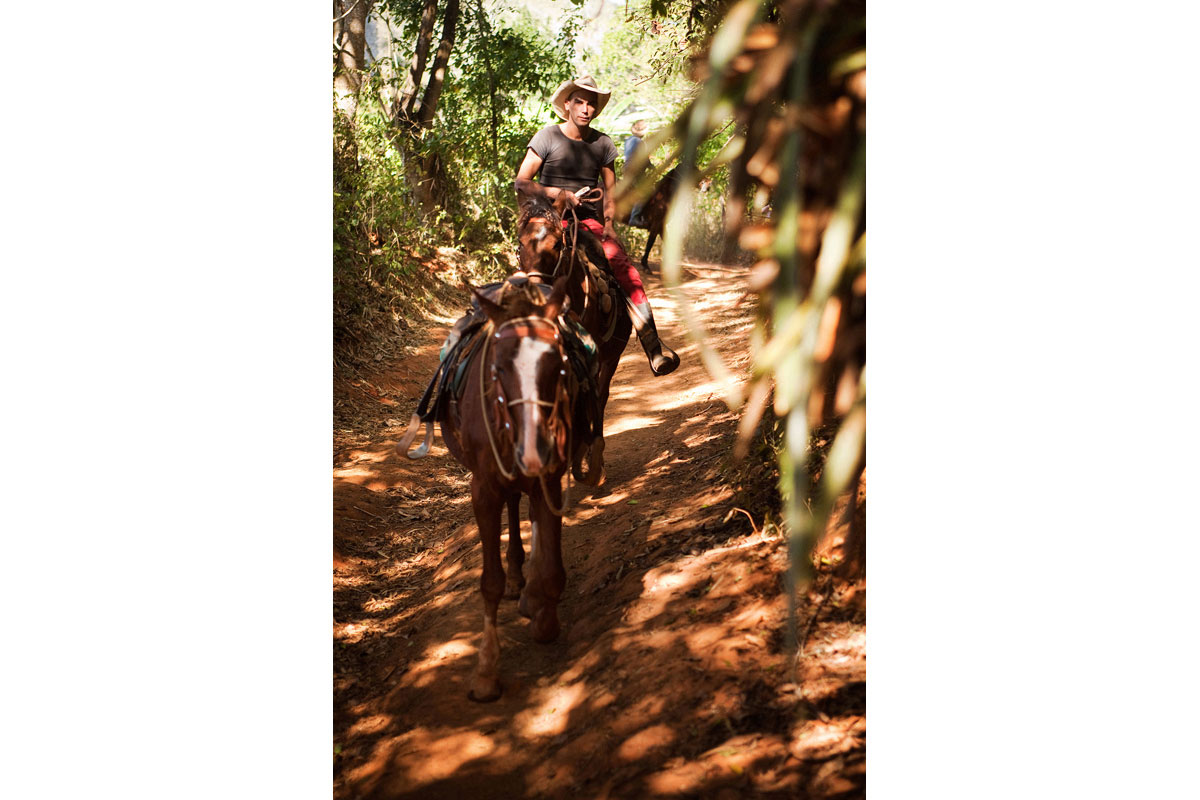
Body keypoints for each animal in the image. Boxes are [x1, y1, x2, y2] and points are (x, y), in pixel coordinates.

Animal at [403, 278, 585, 705]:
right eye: (498, 368)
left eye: (558, 363)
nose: (534, 450)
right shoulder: (483, 490)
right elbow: (490, 582)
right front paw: (486, 670)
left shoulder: (550, 480)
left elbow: (552, 570)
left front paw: (543, 615)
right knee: (513, 506)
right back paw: (518, 578)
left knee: (523, 508)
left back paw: (526, 584)